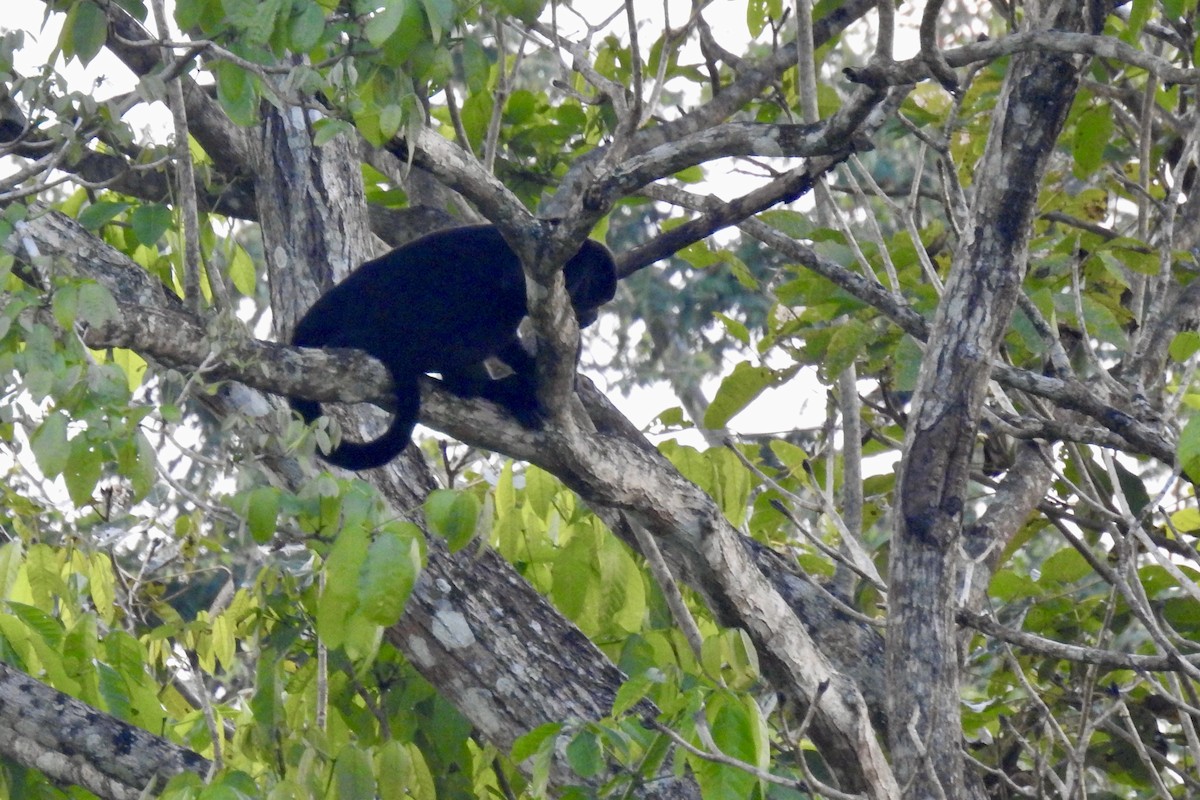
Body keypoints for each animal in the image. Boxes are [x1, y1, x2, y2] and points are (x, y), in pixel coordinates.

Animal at [290, 224, 617, 470]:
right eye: (593, 297)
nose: (593, 316)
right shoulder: (529, 269)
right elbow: (507, 294)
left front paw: (531, 369)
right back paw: (488, 389)